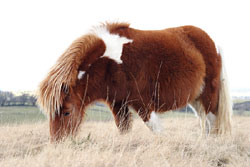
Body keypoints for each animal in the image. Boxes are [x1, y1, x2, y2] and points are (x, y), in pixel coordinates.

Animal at [37, 21, 232, 142]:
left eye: (67, 112)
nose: (58, 143)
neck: (112, 63)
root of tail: (213, 42)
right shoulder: (118, 104)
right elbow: (123, 129)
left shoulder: (142, 103)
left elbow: (156, 129)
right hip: (196, 99)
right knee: (204, 122)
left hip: (209, 95)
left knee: (212, 121)